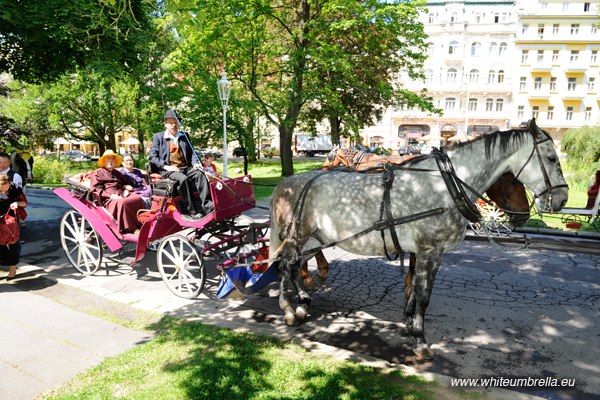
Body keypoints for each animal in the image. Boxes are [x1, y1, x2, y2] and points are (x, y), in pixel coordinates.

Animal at [270, 118, 568, 356]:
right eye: (552, 159)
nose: (563, 199)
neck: (446, 185)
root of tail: (286, 184)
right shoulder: (429, 250)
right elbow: (423, 294)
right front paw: (420, 339)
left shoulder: (422, 252)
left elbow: (414, 287)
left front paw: (410, 324)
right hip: (297, 238)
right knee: (285, 266)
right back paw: (288, 310)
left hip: (314, 240)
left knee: (295, 267)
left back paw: (303, 304)